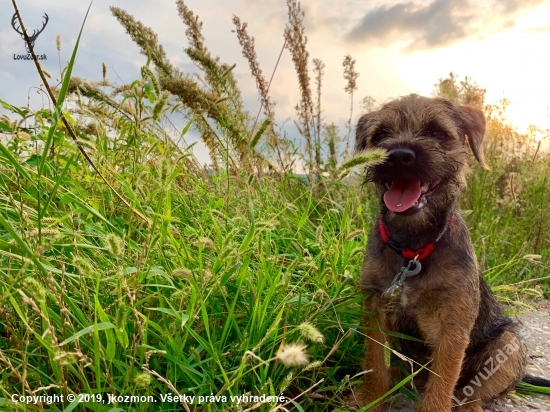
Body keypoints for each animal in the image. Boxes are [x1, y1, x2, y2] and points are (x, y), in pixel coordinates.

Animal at [352, 95, 548, 410]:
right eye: (380, 135)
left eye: (437, 132)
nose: (398, 156)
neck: (414, 250)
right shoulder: (375, 307)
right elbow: (375, 363)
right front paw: (371, 400)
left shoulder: (452, 326)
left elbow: (442, 381)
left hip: (509, 345)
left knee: (474, 394)